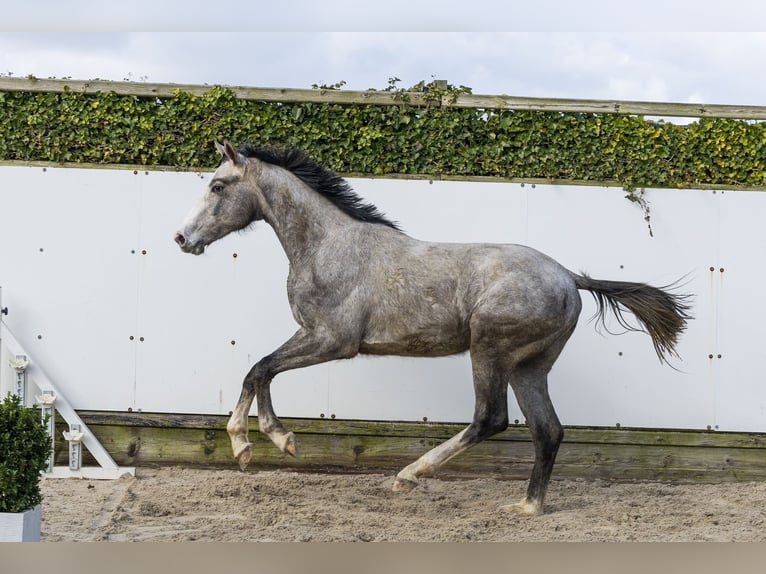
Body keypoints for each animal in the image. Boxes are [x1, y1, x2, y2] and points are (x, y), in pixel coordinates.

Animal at [174, 141, 691, 515]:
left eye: (217, 186)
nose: (182, 238)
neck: (328, 246)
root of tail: (569, 276)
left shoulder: (332, 340)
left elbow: (260, 368)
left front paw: (258, 442)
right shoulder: (315, 338)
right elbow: (260, 370)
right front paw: (267, 441)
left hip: (489, 350)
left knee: (491, 419)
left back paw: (408, 476)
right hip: (530, 367)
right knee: (548, 430)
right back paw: (527, 507)